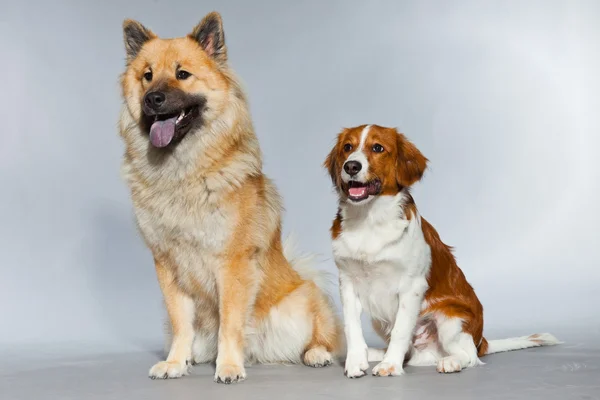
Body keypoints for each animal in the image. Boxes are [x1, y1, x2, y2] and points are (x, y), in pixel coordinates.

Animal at [119, 10, 340, 382]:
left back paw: (316, 355)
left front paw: (229, 366)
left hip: (303, 298)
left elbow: (231, 323)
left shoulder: (232, 263)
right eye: (147, 76)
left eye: (182, 74)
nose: (153, 99)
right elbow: (182, 324)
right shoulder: (167, 265)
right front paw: (175, 363)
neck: (183, 174)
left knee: (324, 335)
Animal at [326, 124, 560, 378]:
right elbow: (352, 328)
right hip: (381, 322)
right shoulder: (348, 282)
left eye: (378, 148)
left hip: (451, 319)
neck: (369, 220)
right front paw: (355, 361)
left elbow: (400, 330)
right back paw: (375, 353)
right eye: (347, 147)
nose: (351, 166)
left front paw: (390, 365)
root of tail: (481, 340)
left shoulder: (412, 286)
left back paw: (450, 362)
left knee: (469, 356)